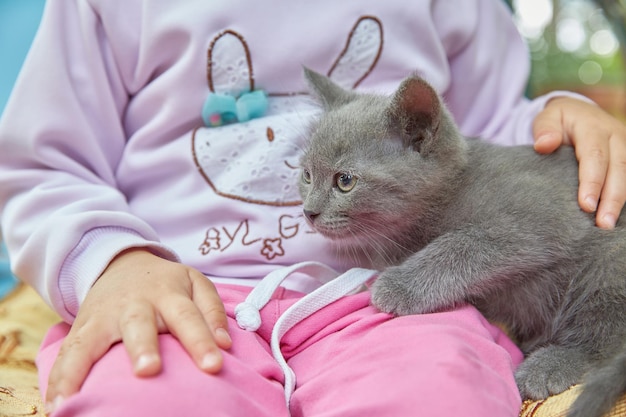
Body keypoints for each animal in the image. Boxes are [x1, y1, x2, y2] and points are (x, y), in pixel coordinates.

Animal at [296, 68, 624, 416]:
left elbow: (464, 242)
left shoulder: (547, 212)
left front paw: (399, 286)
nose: (309, 212)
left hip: (608, 260)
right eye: (306, 175)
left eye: (345, 181)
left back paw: (548, 366)